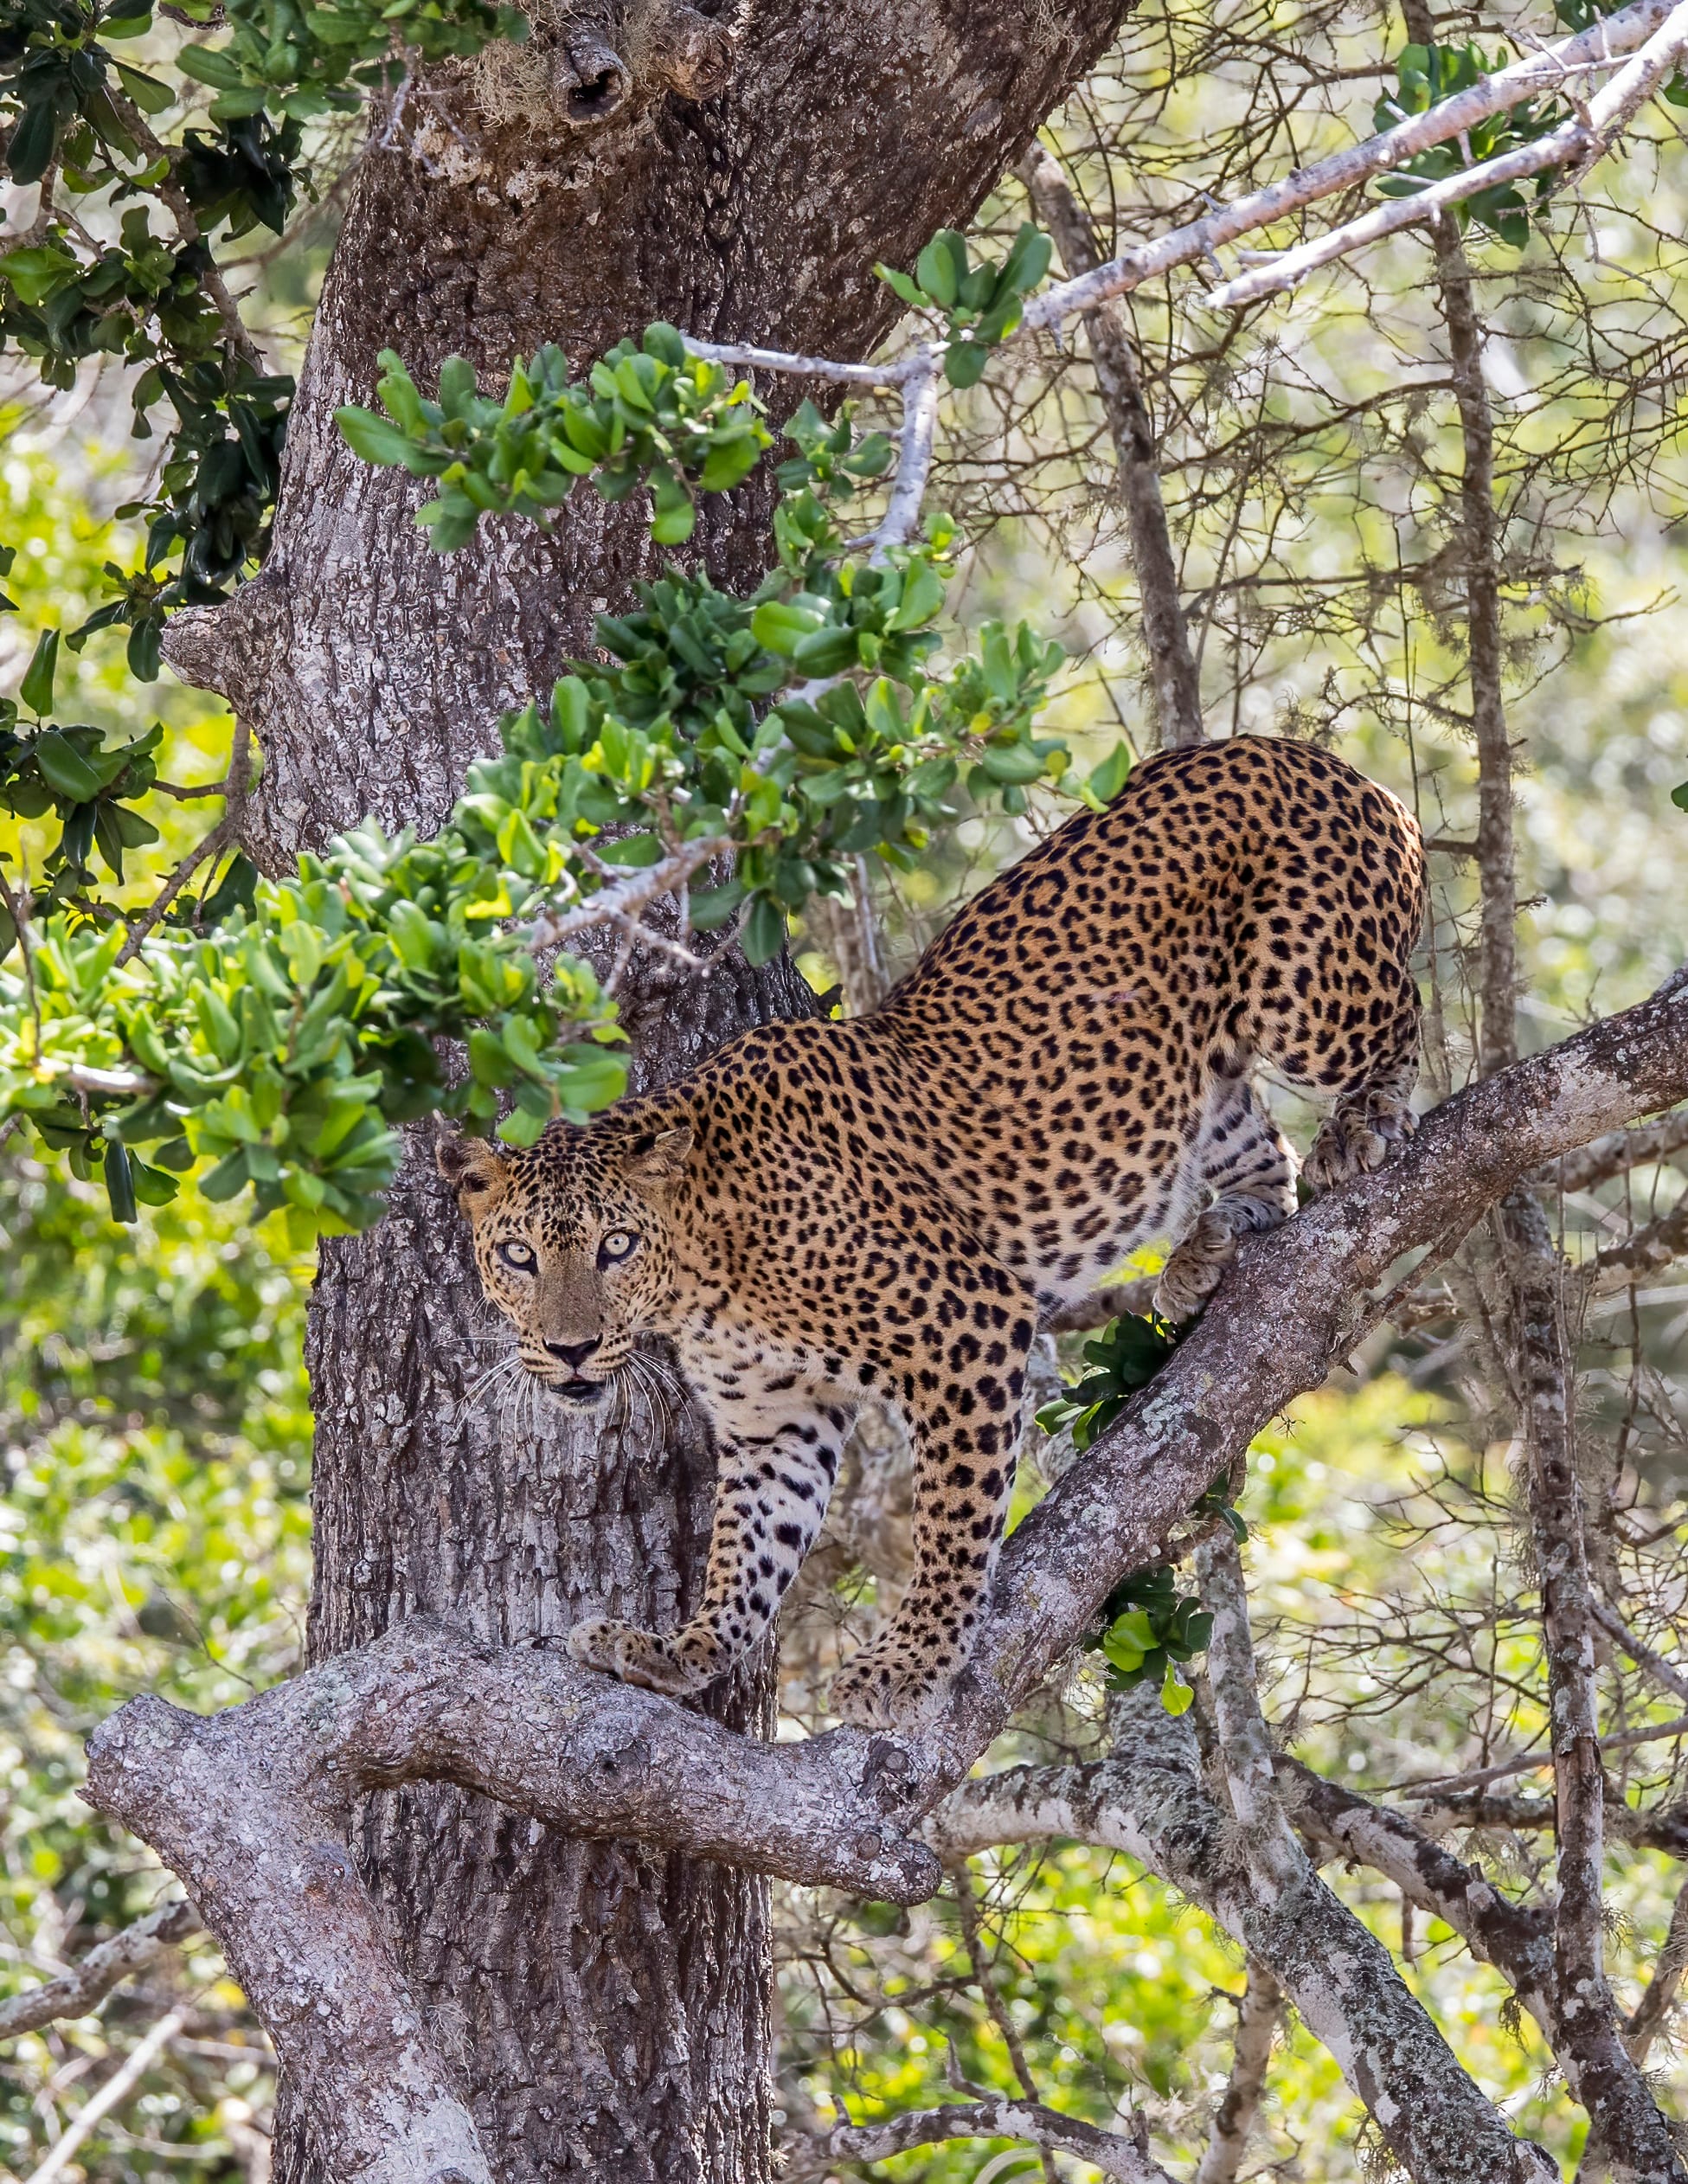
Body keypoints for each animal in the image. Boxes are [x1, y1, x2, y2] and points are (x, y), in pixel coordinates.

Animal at [439, 733, 1426, 1727]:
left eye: (616, 1247)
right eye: (520, 1255)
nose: (570, 1349)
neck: (701, 1275)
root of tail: (1298, 750)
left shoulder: (966, 1326)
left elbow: (952, 1516)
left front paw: (910, 1659)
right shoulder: (774, 1420)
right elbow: (747, 1548)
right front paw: (684, 1650)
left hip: (1305, 988)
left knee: (1399, 1015)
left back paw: (1360, 1127)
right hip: (1200, 1078)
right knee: (1263, 1155)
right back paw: (1206, 1253)